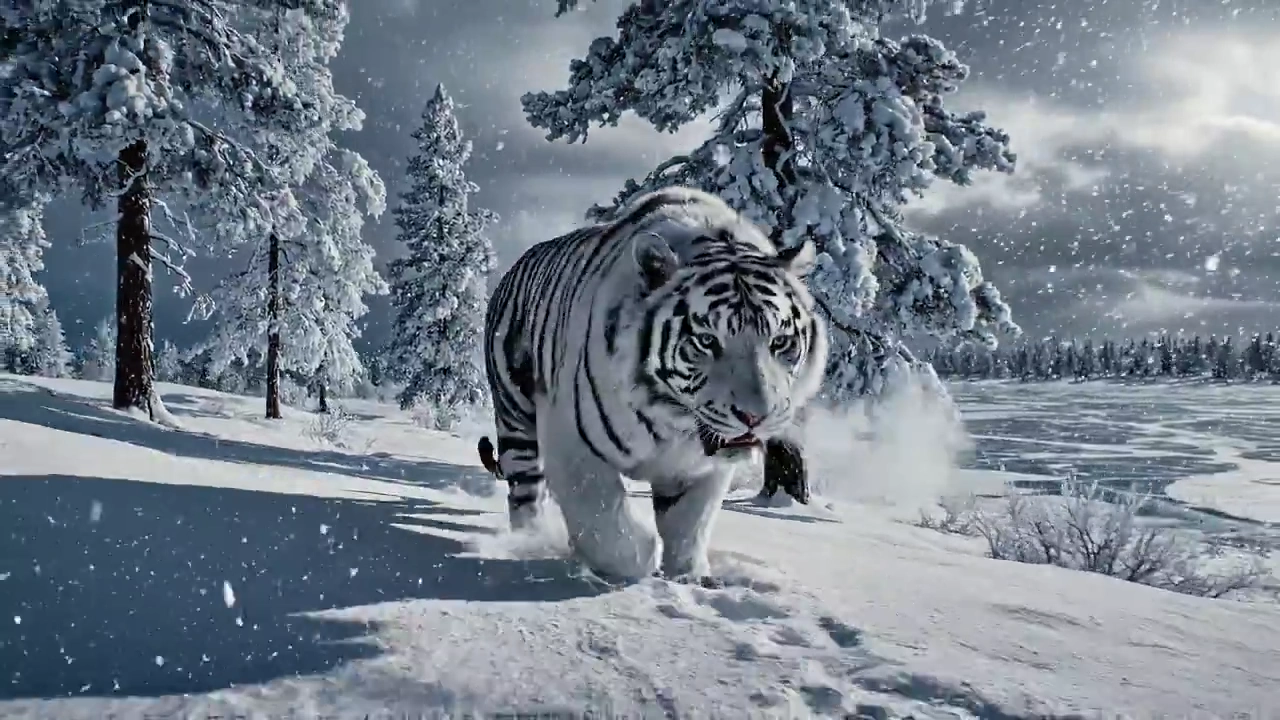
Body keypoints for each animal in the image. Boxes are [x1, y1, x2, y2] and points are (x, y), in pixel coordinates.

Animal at [476, 186, 829, 582]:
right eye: (707, 340)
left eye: (780, 342)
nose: (756, 417)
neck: (674, 421)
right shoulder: (572, 441)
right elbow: (604, 523)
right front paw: (638, 561)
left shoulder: (702, 469)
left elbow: (690, 524)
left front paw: (689, 576)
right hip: (516, 418)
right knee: (524, 493)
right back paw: (529, 542)